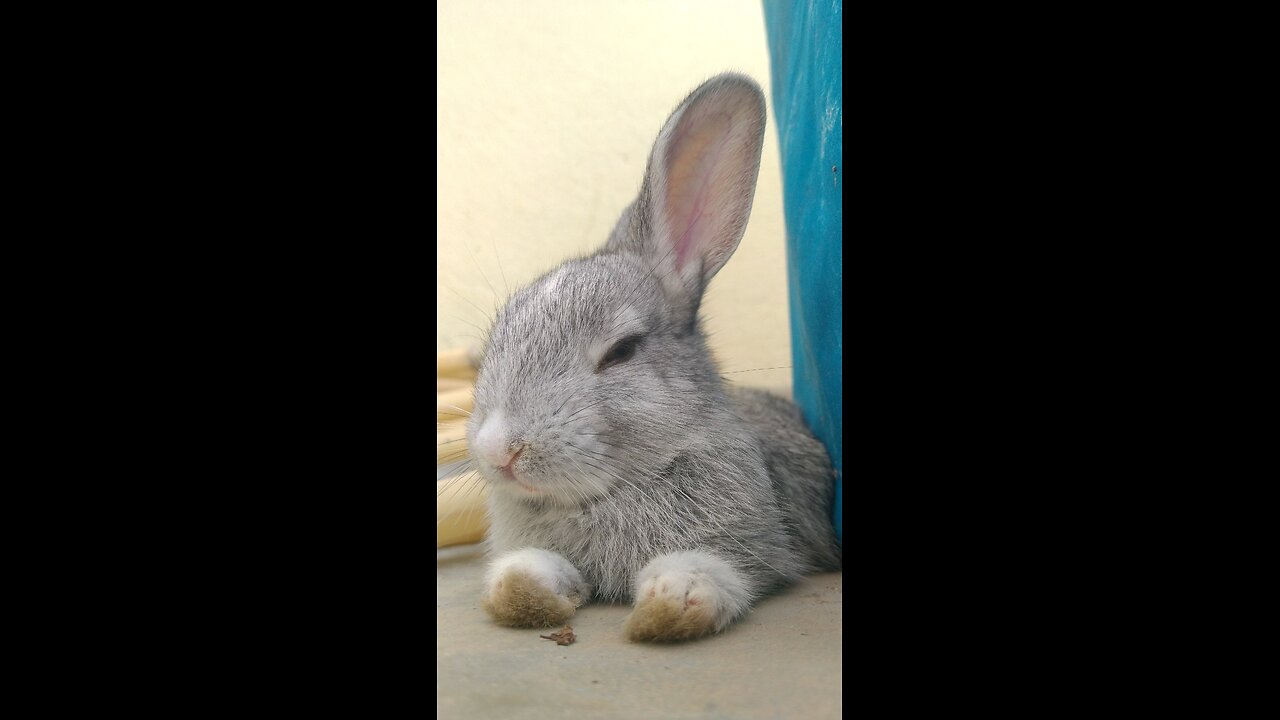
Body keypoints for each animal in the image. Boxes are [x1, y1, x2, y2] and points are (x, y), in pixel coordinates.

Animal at [468, 73, 839, 638]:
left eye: (621, 351)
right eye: (500, 331)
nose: (498, 451)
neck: (605, 495)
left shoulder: (758, 548)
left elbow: (713, 572)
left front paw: (670, 605)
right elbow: (529, 573)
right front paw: (522, 591)